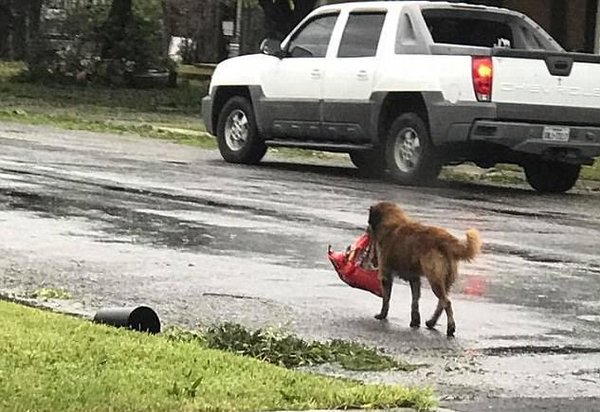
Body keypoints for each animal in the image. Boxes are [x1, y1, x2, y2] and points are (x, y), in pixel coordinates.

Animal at [366, 201, 482, 336]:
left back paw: (450, 328)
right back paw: (431, 322)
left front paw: (382, 315)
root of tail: (445, 238)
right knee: (442, 302)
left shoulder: (386, 275)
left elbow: (386, 299)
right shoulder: (414, 279)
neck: (393, 222)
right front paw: (415, 321)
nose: (367, 230)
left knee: (446, 302)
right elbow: (415, 301)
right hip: (445, 280)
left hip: (434, 279)